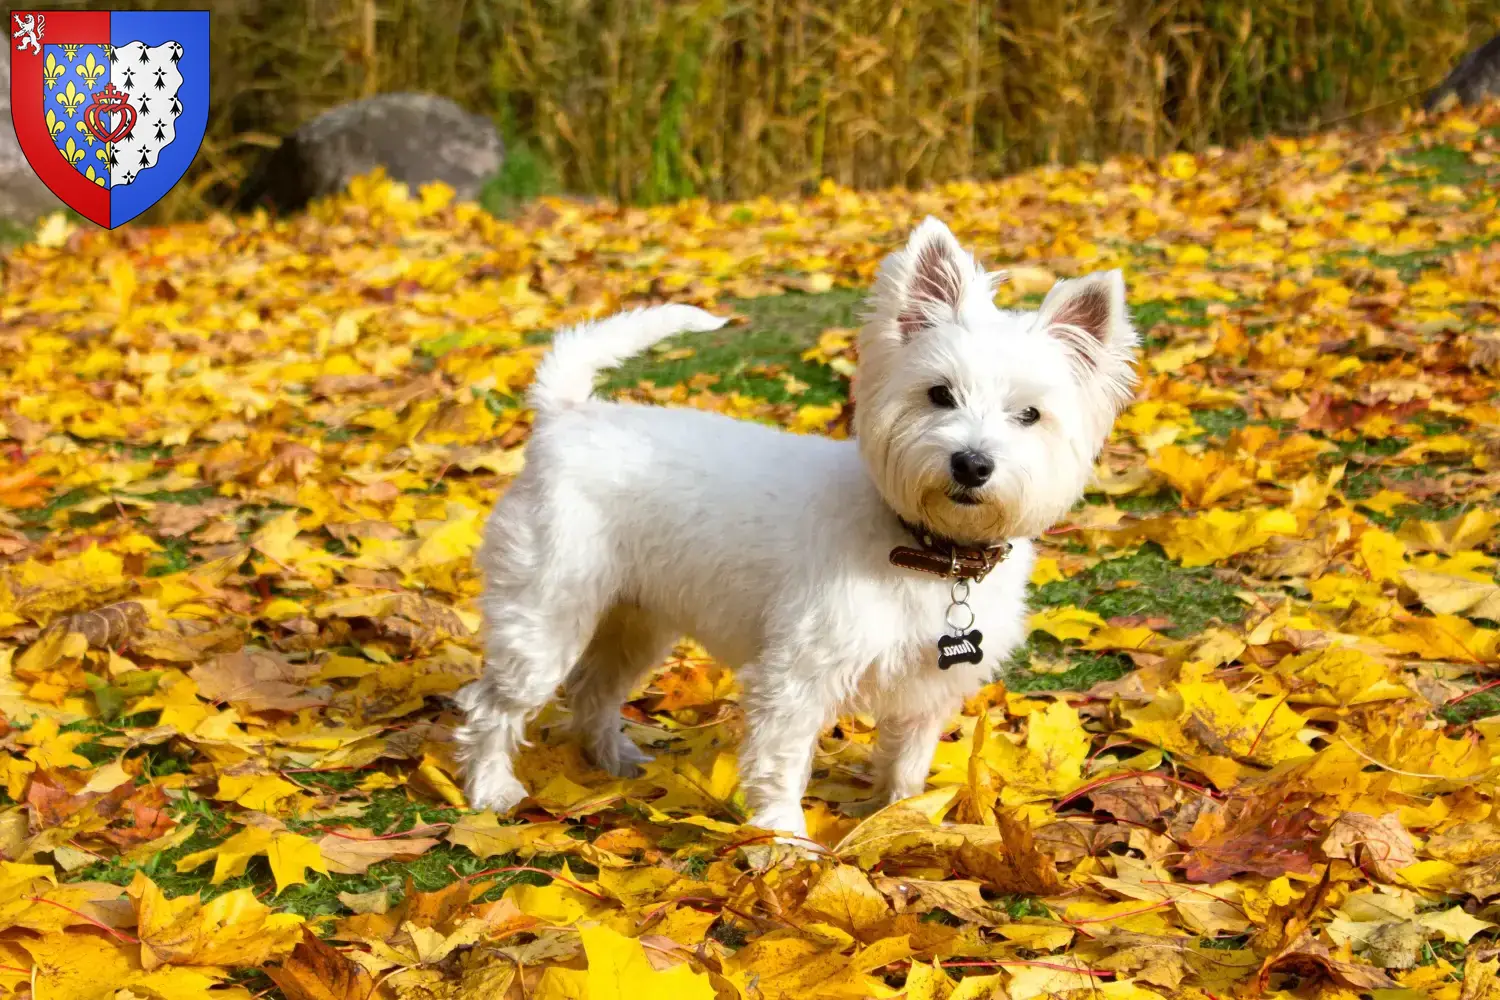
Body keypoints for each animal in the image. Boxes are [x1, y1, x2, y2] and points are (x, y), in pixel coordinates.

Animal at [456, 218, 1134, 839]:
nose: (971, 463)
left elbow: (906, 767)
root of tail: (566, 416)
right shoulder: (796, 677)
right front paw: (785, 844)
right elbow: (781, 765)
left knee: (593, 691)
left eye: (1030, 414)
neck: (927, 552)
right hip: (547, 618)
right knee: (494, 704)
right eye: (940, 394)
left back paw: (614, 760)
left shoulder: (925, 692)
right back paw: (491, 788)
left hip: (635, 622)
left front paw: (900, 823)